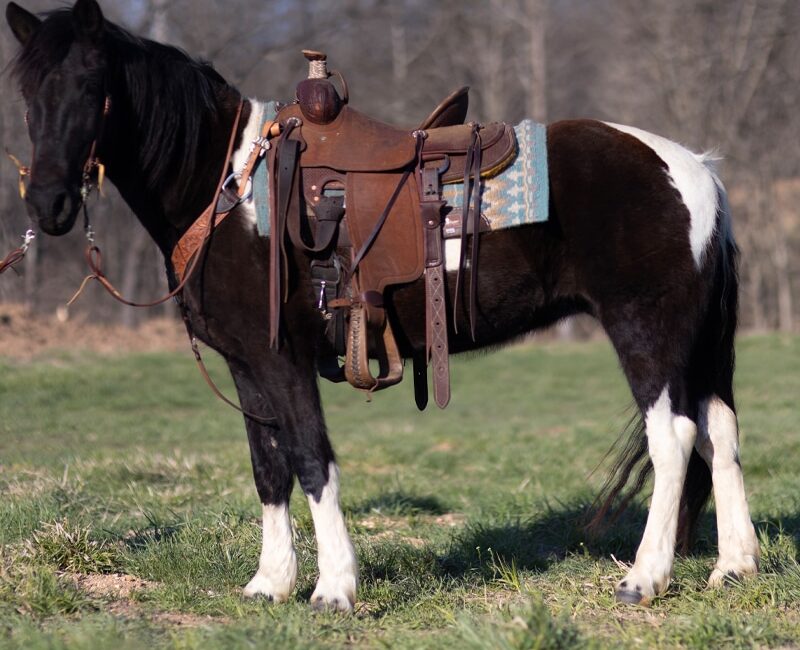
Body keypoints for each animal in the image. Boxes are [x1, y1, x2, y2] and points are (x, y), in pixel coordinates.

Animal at [4, 0, 756, 608]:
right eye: (26, 92)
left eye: (91, 86)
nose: (47, 205)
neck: (229, 189)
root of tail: (696, 170)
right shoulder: (247, 366)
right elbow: (268, 467)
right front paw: (269, 584)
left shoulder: (282, 361)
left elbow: (312, 458)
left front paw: (334, 588)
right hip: (695, 346)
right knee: (718, 430)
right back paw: (734, 567)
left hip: (646, 332)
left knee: (674, 437)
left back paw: (644, 578)